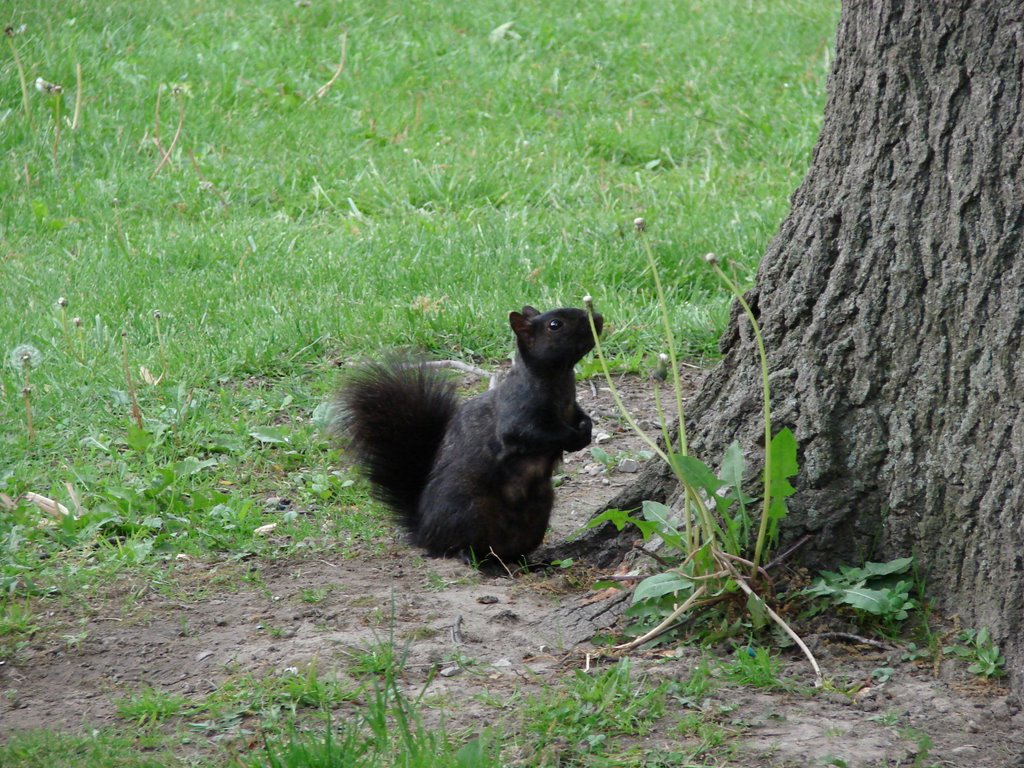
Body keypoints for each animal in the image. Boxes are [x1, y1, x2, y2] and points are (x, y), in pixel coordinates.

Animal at [335, 307, 606, 565]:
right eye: (555, 325)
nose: (597, 317)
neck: (560, 380)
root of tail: (425, 532)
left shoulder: (572, 408)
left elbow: (582, 417)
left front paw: (586, 431)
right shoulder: (516, 415)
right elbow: (532, 434)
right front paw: (573, 439)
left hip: (539, 512)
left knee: (511, 551)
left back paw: (528, 563)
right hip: (469, 509)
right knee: (455, 546)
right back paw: (468, 555)